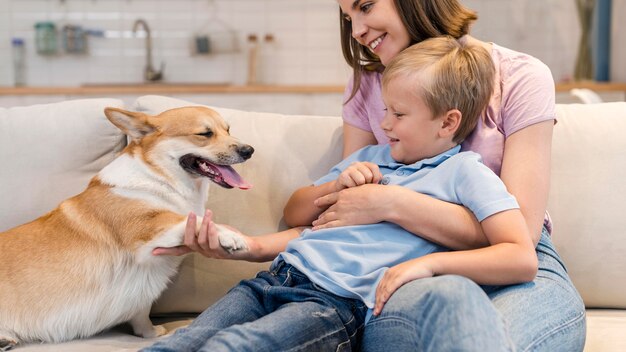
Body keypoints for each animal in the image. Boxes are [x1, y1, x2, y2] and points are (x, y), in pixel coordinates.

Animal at [1, 105, 254, 350]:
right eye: (204, 134)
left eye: (228, 130)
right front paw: (230, 235)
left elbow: (141, 313)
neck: (160, 179)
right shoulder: (144, 229)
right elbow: (193, 219)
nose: (249, 150)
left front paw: (150, 333)